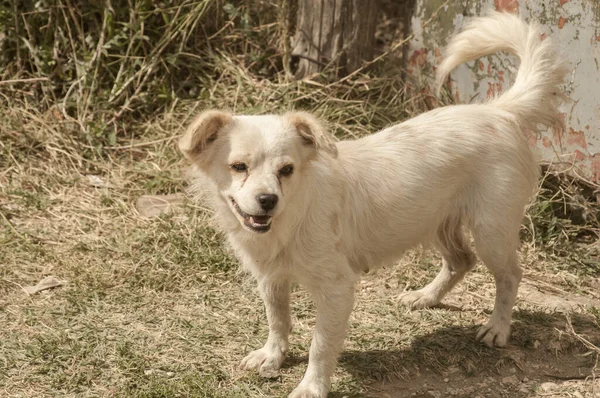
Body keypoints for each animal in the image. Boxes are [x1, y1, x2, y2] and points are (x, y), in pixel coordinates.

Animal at [178, 12, 568, 398]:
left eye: (286, 170)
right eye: (238, 167)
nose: (267, 201)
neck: (292, 216)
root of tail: (499, 112)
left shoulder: (337, 289)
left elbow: (320, 345)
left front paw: (311, 386)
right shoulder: (271, 279)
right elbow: (278, 320)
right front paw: (272, 356)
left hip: (490, 231)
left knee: (510, 275)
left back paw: (498, 327)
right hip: (434, 221)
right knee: (461, 260)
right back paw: (425, 297)